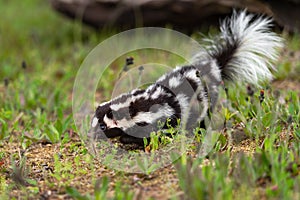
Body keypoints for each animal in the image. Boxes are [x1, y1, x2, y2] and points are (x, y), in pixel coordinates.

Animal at [90, 10, 282, 145]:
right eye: (94, 121)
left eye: (103, 126)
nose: (91, 135)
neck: (131, 107)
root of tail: (212, 67)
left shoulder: (157, 116)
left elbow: (152, 133)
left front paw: (128, 140)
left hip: (205, 99)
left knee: (204, 114)